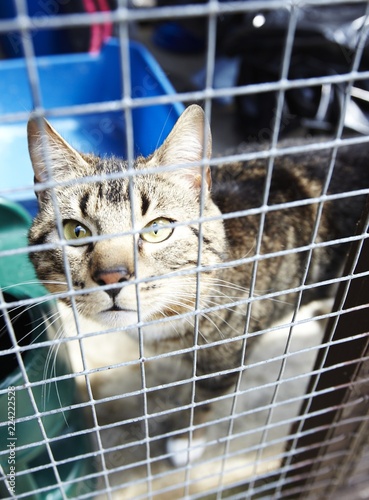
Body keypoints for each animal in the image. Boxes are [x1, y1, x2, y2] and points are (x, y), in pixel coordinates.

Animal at [26, 104, 368, 464]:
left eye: (157, 229)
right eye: (75, 232)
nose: (112, 275)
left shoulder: (226, 358)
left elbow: (201, 400)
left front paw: (186, 439)